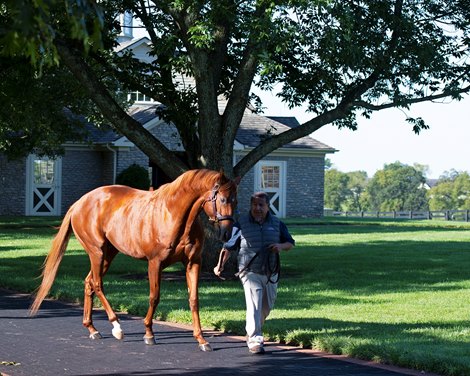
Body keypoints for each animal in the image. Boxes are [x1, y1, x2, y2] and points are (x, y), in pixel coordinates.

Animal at [29, 169, 239, 352]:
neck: (174, 214)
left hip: (109, 254)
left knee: (89, 282)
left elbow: (194, 299)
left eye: (235, 201)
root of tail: (80, 202)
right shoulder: (154, 263)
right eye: (222, 199)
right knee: (97, 283)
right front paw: (149, 333)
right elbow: (154, 297)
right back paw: (116, 326)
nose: (227, 234)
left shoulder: (193, 263)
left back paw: (92, 328)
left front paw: (201, 339)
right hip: (97, 252)